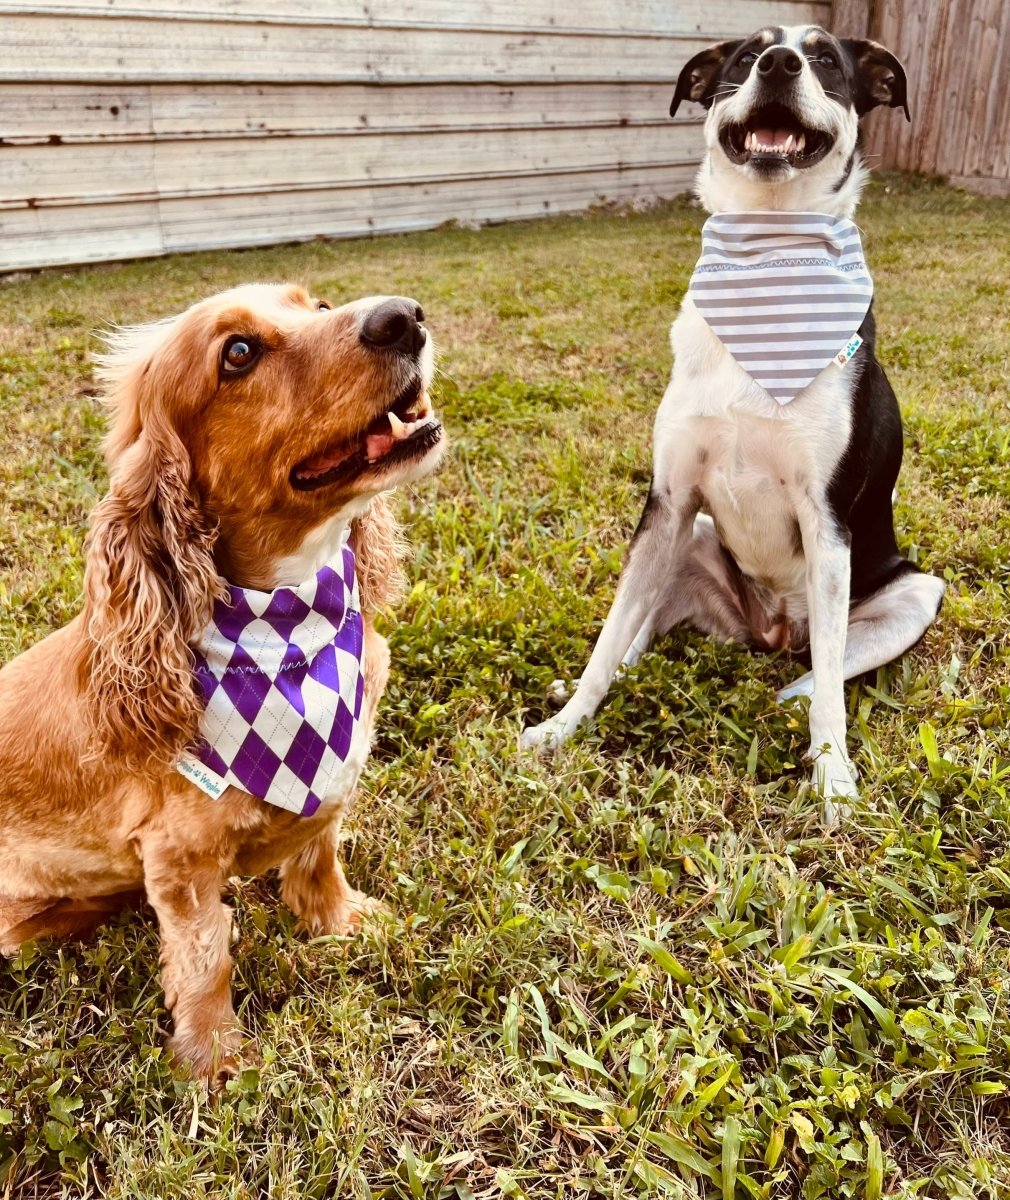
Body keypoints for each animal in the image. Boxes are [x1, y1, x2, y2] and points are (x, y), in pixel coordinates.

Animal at [0, 283, 443, 1089]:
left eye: (315, 303)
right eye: (237, 354)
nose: (403, 316)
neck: (286, 637)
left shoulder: (331, 777)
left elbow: (320, 851)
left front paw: (340, 921)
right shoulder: (179, 862)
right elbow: (205, 956)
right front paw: (214, 1062)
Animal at [522, 25, 940, 816]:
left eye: (826, 59)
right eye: (748, 56)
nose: (779, 65)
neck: (766, 258)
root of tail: (771, 629)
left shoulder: (827, 524)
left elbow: (831, 694)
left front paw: (834, 779)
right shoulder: (667, 502)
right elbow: (606, 640)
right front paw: (564, 728)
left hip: (912, 593)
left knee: (816, 673)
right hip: (690, 538)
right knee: (635, 636)